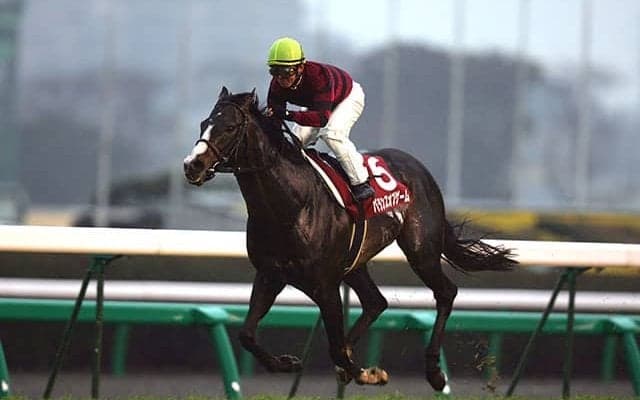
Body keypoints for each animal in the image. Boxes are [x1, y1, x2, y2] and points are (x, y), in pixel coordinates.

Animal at [183, 87, 516, 391]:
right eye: (203, 123)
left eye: (229, 127)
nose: (192, 165)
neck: (290, 205)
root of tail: (419, 168)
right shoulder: (270, 274)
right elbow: (247, 335)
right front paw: (288, 363)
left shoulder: (325, 286)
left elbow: (334, 348)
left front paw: (369, 373)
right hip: (355, 263)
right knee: (376, 302)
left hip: (421, 249)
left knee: (445, 292)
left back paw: (434, 372)